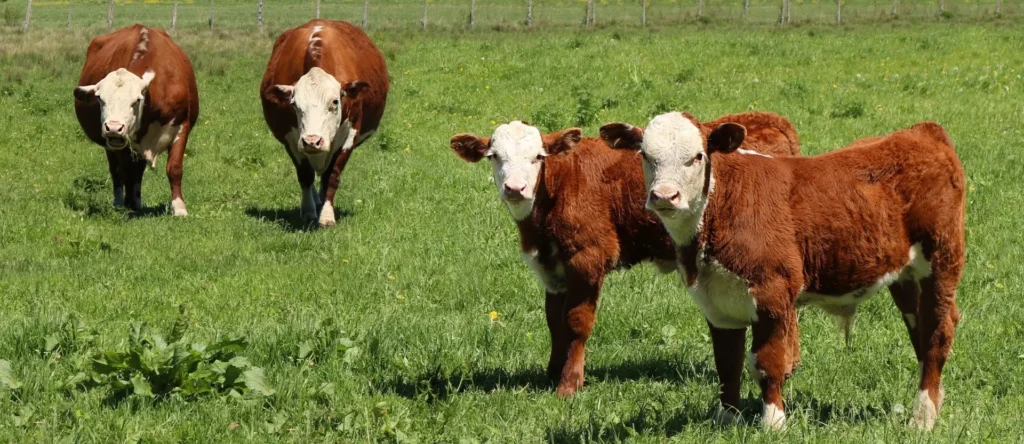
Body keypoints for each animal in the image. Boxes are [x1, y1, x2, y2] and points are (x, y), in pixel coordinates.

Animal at [73, 24, 199, 216]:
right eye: (100, 98)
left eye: (137, 100)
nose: (113, 128)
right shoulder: (120, 143)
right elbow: (126, 171)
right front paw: (128, 204)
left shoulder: (181, 126)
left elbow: (175, 168)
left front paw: (179, 208)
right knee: (117, 171)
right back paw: (121, 201)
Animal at [260, 20, 389, 228]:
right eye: (294, 105)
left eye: (335, 102)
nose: (312, 141)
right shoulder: (291, 139)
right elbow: (305, 175)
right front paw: (308, 211)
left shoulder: (349, 136)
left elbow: (332, 176)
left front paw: (327, 216)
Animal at [449, 112, 800, 397]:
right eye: (494, 156)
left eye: (538, 157)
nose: (515, 188)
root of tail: (767, 120)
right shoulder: (552, 268)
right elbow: (554, 321)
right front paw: (552, 373)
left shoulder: (586, 258)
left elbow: (576, 322)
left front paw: (569, 383)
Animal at [616, 112, 965, 430]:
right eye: (645, 155)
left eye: (697, 156)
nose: (664, 196)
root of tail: (922, 131)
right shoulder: (716, 304)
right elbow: (727, 363)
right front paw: (726, 417)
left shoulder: (772, 293)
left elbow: (767, 362)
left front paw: (773, 422)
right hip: (905, 275)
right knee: (920, 329)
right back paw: (934, 400)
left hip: (942, 259)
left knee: (937, 329)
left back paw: (922, 417)